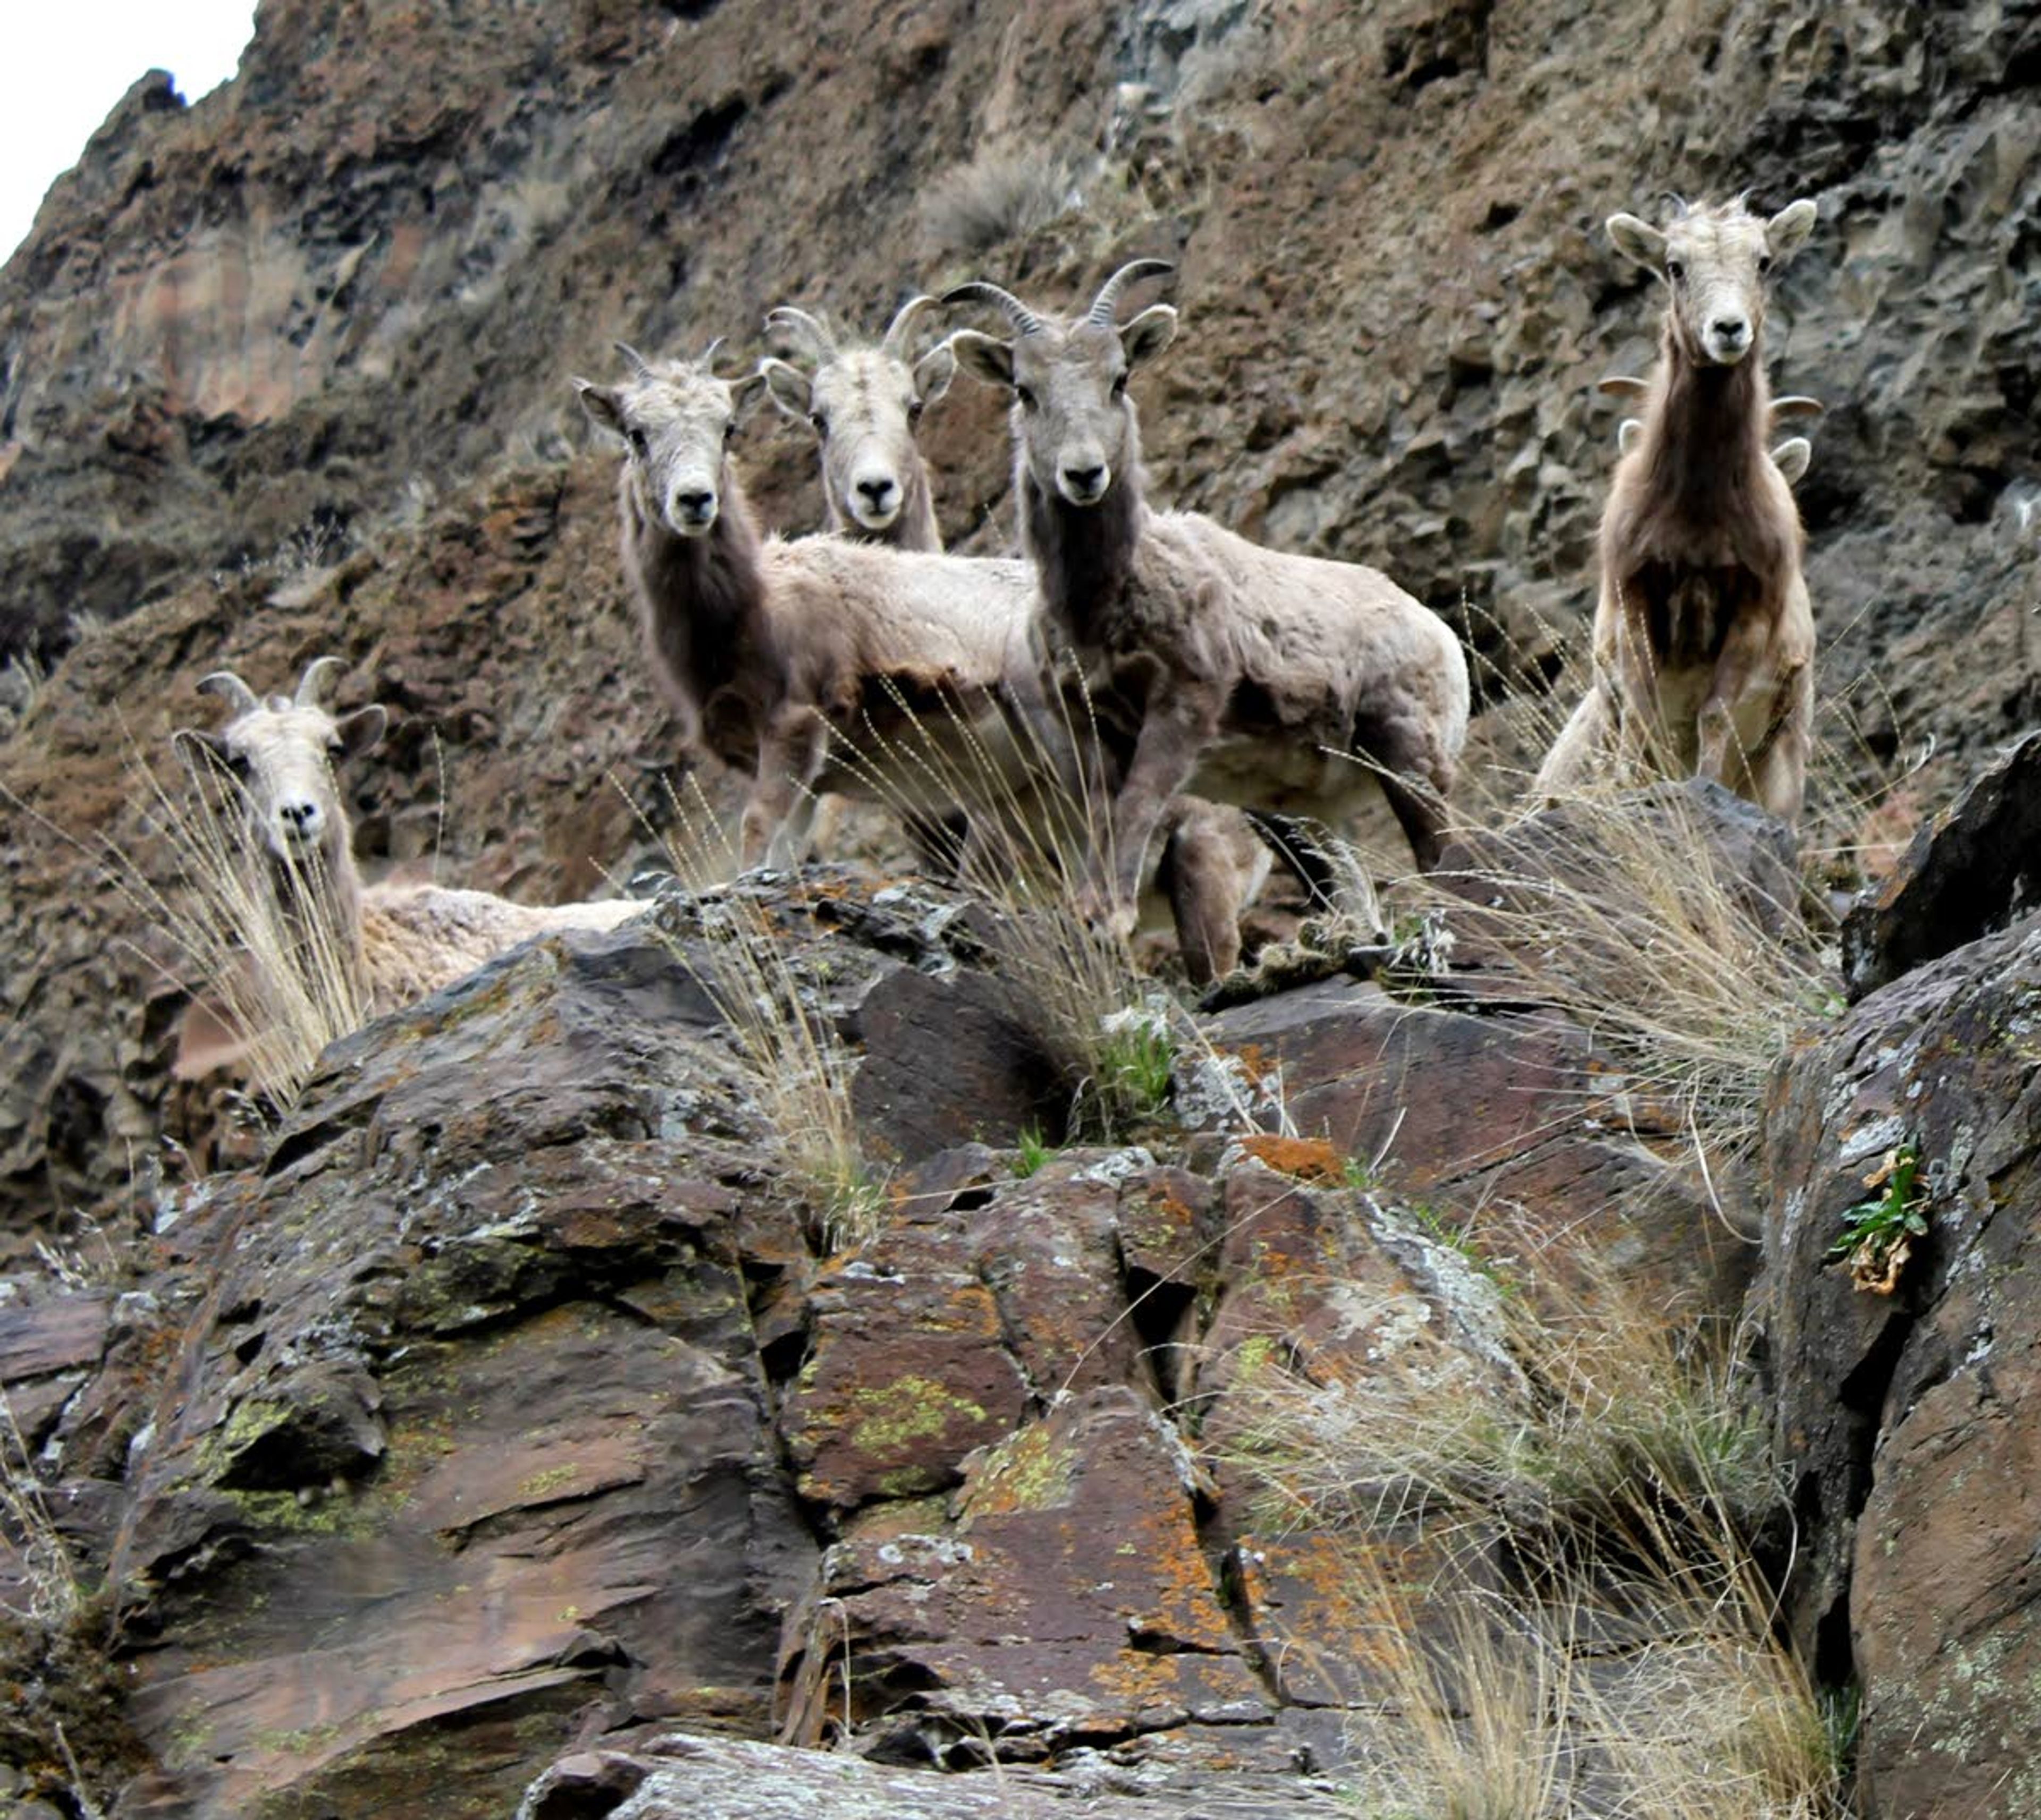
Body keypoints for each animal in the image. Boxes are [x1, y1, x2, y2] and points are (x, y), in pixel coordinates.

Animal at [947, 259, 1478, 922]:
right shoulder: (1086, 736)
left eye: (1120, 378)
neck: (1101, 609)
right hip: (1307, 815)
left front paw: (1111, 918)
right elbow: (1104, 819)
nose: (1084, 474)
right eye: (1024, 389)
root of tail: (1441, 637)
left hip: (1410, 759)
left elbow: (1138, 806)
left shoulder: (1185, 705)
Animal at [1534, 196, 1828, 820]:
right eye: (1674, 266)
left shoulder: (1751, 613)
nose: (1728, 329)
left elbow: (1713, 716)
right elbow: (1645, 714)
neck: (1700, 519)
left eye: (1763, 261)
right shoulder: (1636, 600)